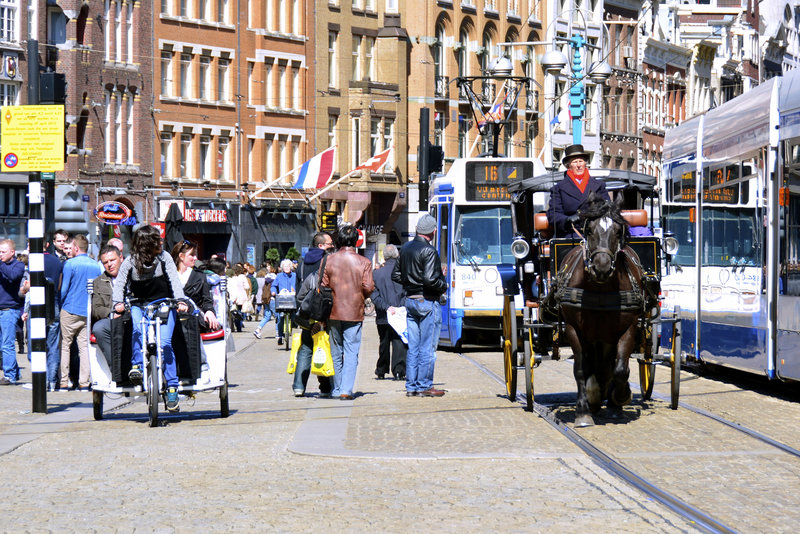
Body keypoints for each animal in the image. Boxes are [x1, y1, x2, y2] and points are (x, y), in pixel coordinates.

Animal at [548, 195, 648, 430]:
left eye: (618, 231)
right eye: (590, 230)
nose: (601, 267)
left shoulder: (628, 328)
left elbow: (621, 369)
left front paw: (620, 398)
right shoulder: (574, 329)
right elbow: (581, 369)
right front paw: (583, 412)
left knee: (610, 366)